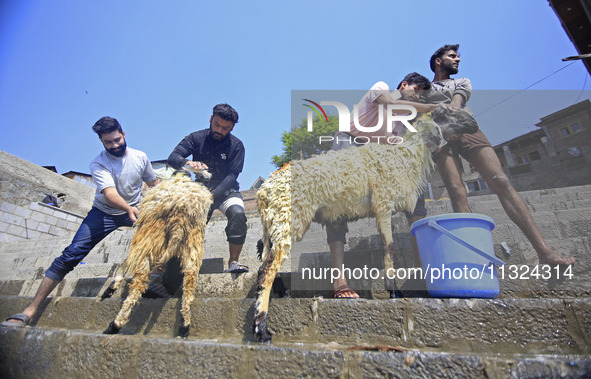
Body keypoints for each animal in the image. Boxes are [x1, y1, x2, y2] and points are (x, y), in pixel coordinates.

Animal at [254, 108, 476, 342]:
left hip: (275, 221)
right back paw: (262, 329)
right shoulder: (383, 203)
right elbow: (389, 247)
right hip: (290, 215)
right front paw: (394, 292)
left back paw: (280, 294)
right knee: (266, 269)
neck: (405, 157)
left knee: (265, 255)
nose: (473, 123)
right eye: (448, 112)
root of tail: (264, 191)